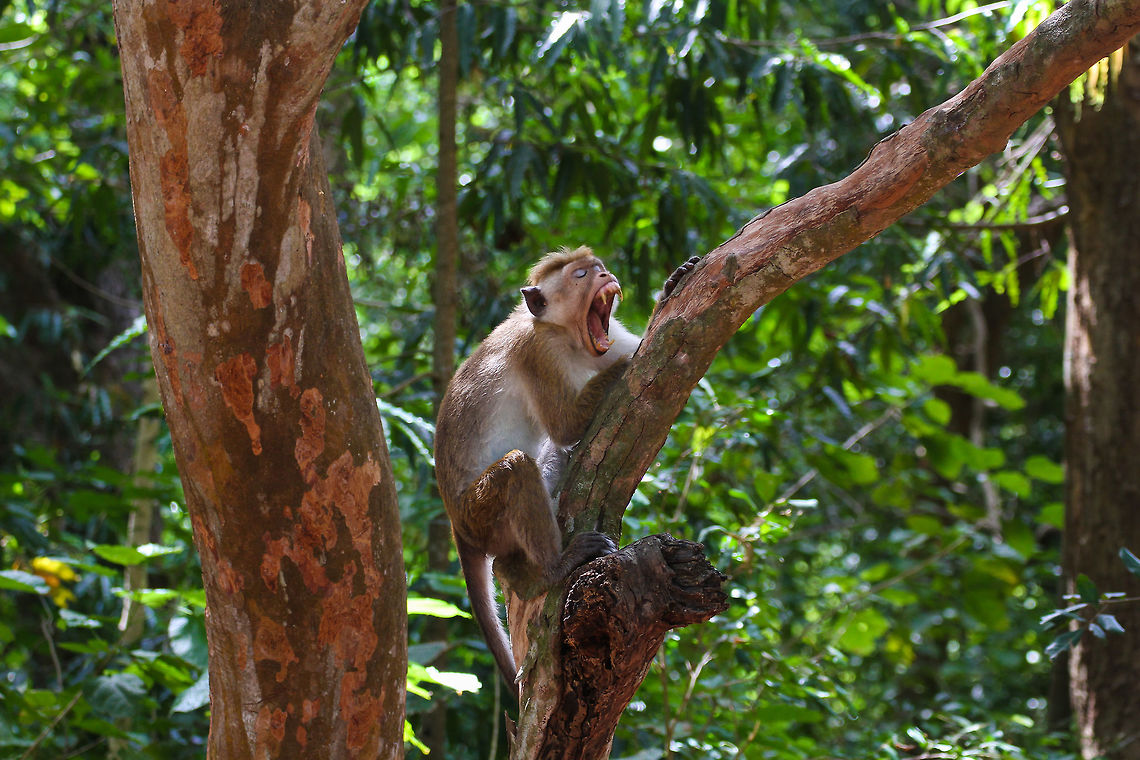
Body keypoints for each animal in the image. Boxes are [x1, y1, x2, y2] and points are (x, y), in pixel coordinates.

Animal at [433, 246, 700, 700]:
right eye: (581, 275)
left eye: (598, 268)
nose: (605, 275)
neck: (564, 333)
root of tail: (456, 524)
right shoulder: (538, 352)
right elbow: (564, 424)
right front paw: (626, 363)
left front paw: (671, 286)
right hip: (480, 513)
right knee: (517, 467)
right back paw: (554, 567)